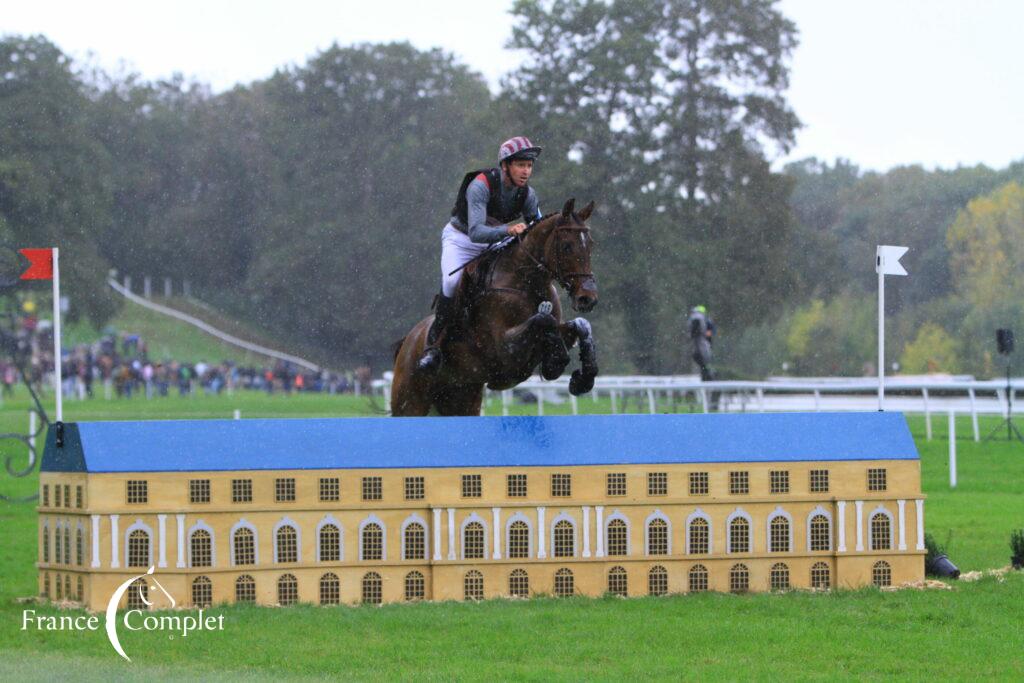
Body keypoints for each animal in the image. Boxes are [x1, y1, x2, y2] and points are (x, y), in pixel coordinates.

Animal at [391, 197, 598, 417]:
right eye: (567, 246)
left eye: (590, 245)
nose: (588, 298)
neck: (526, 283)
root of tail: (407, 341)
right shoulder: (504, 350)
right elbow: (544, 319)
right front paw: (556, 362)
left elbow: (580, 324)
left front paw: (583, 379)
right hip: (410, 403)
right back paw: (429, 357)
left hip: (462, 400)